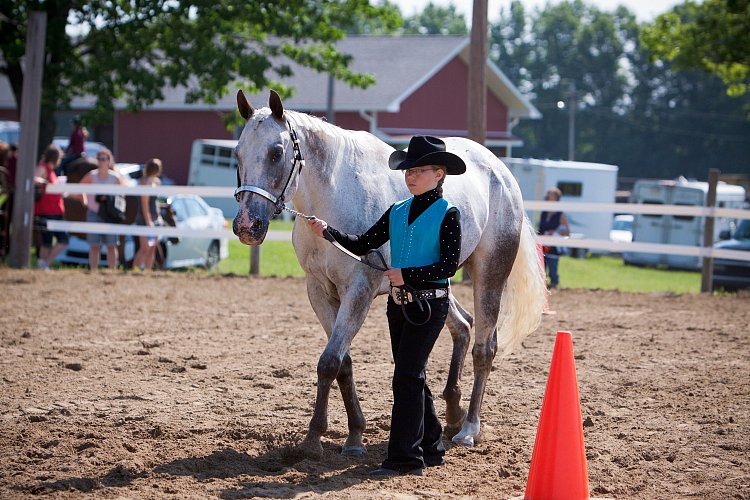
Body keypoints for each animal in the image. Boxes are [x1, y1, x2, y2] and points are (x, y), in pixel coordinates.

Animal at [235, 90, 548, 458]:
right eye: (237, 153)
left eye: (276, 152)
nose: (246, 226)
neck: (335, 196)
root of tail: (500, 171)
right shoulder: (319, 290)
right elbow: (342, 362)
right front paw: (354, 435)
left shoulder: (359, 291)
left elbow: (329, 361)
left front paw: (314, 439)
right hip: (436, 282)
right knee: (463, 326)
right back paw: (453, 412)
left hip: (489, 275)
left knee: (484, 349)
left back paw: (470, 428)